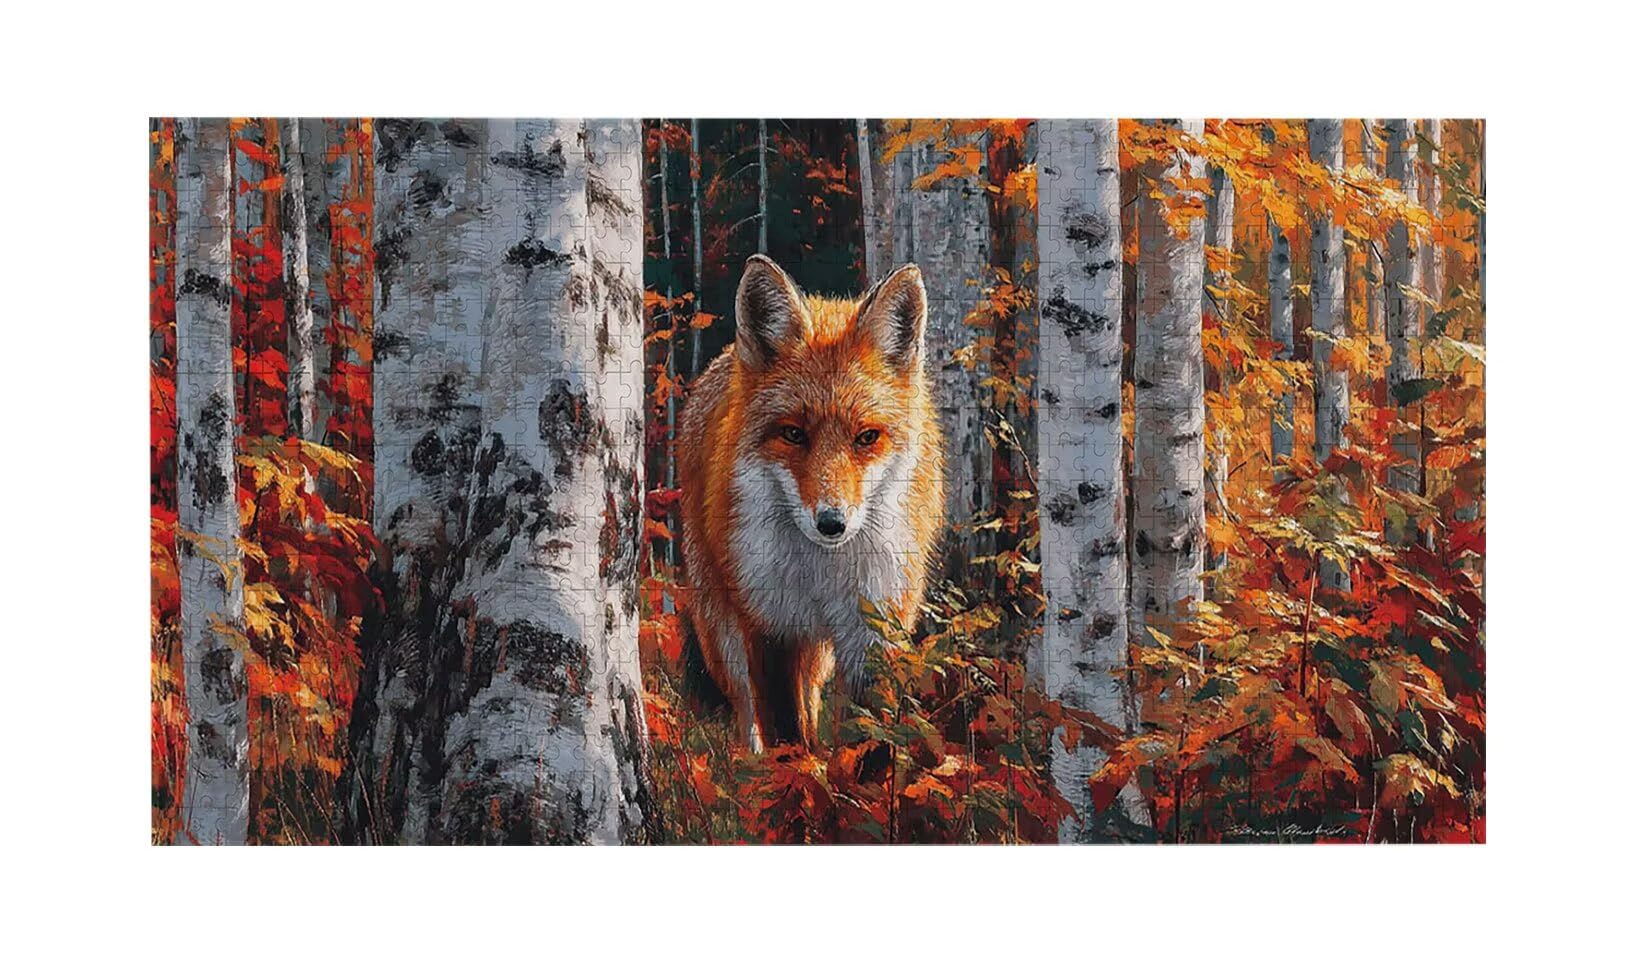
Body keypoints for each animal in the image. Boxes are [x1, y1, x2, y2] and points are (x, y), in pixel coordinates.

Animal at [676, 255, 945, 752]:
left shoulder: (874, 630)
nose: (832, 522)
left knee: (815, 696)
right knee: (746, 710)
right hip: (721, 629)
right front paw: (792, 772)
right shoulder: (770, 627)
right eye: (793, 434)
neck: (823, 576)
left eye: (867, 437)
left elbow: (865, 740)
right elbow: (786, 737)